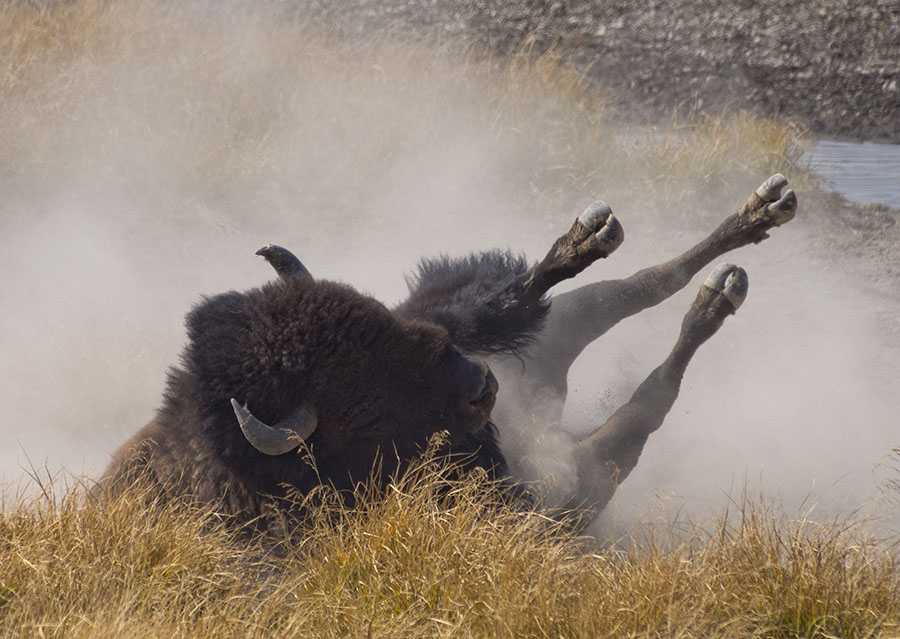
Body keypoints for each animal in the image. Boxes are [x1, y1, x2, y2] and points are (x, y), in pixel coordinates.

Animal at [102, 172, 800, 528]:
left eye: (379, 319)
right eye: (364, 406)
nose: (480, 386)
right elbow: (642, 410)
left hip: (530, 332)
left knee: (604, 290)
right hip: (574, 435)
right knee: (647, 379)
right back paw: (721, 288)